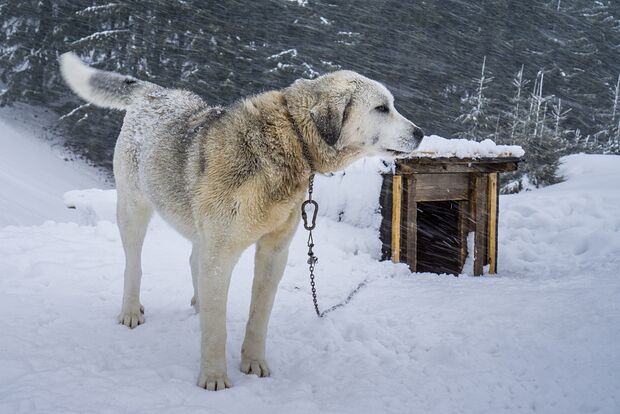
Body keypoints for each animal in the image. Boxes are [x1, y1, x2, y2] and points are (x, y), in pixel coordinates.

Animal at [58, 52, 424, 392]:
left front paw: (254, 362)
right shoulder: (222, 253)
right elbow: (216, 329)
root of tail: (154, 91)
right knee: (134, 264)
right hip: (134, 208)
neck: (289, 141)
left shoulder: (273, 252)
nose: (420, 133)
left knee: (194, 261)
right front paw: (214, 378)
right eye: (381, 108)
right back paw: (132, 311)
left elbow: (259, 315)